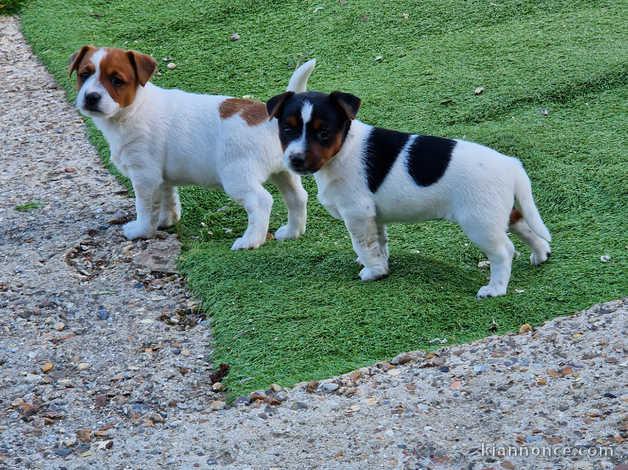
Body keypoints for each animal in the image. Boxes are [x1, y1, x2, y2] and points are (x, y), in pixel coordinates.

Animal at [69, 45, 316, 250]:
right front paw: (166, 221)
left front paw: (141, 230)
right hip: (283, 172)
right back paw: (292, 233)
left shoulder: (144, 176)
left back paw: (250, 241)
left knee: (261, 202)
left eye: (116, 80)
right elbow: (168, 198)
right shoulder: (161, 178)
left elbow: (144, 207)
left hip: (237, 177)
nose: (91, 97)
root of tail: (271, 120)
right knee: (298, 197)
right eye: (84, 74)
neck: (133, 109)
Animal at [264, 91, 548, 298]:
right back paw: (541, 254)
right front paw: (380, 264)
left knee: (504, 251)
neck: (343, 148)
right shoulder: (373, 218)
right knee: (524, 225)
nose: (295, 160)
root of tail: (511, 165)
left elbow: (364, 245)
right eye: (287, 130)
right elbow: (378, 244)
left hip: (479, 222)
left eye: (323, 133)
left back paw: (495, 289)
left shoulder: (357, 215)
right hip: (499, 212)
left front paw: (374, 272)